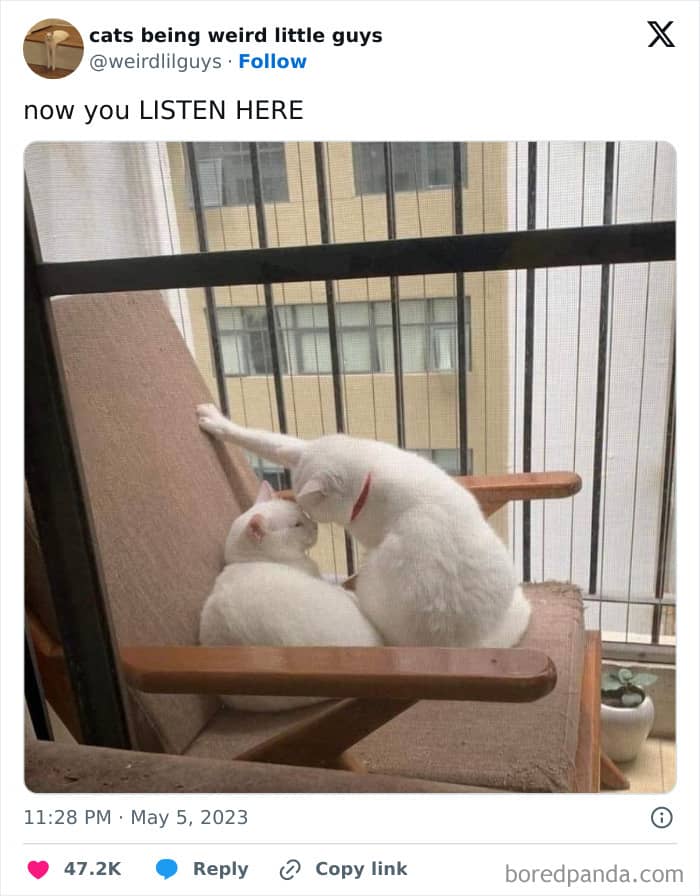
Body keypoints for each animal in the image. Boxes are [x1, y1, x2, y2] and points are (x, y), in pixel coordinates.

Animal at [197, 404, 531, 649]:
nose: (311, 521)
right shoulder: (304, 447)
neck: (371, 474)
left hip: (376, 575)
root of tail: (462, 643)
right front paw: (214, 422)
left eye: (309, 509)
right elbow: (268, 440)